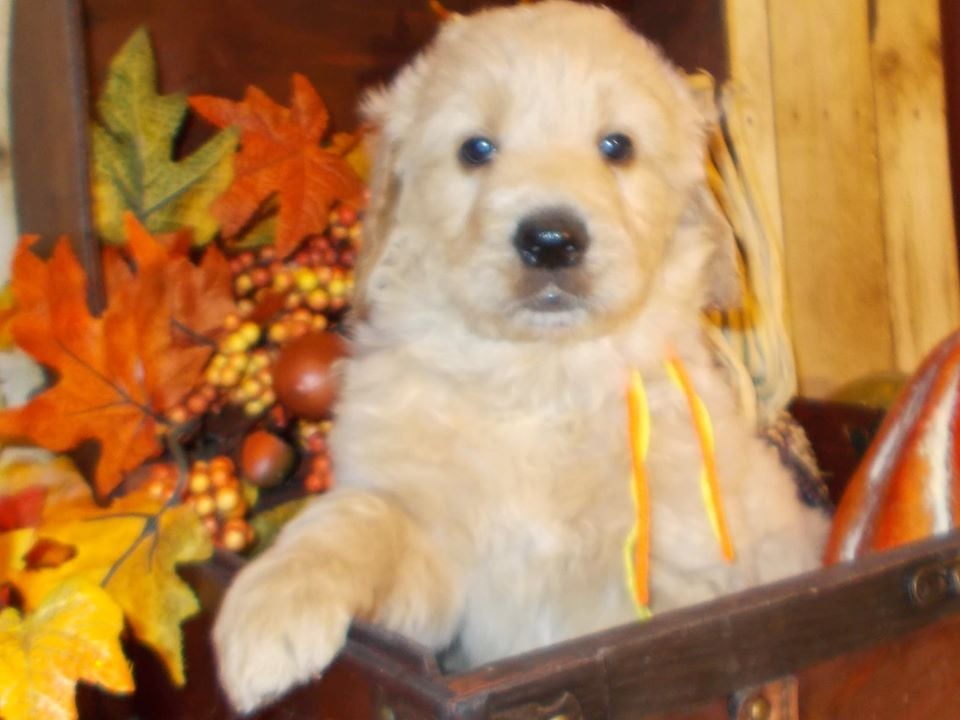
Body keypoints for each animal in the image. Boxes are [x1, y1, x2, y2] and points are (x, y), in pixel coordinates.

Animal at [213, 2, 830, 712]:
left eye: (617, 146)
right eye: (475, 149)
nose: (551, 240)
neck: (540, 378)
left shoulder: (675, 565)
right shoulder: (439, 567)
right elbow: (358, 518)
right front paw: (270, 615)